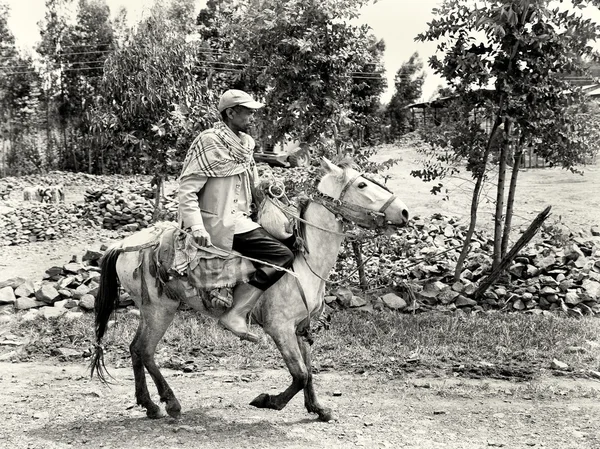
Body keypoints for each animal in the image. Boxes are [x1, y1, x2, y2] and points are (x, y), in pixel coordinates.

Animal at [90, 158, 408, 420]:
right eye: (362, 184)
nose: (403, 211)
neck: (303, 260)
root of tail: (124, 245)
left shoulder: (300, 327)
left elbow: (309, 371)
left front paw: (318, 409)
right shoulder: (279, 327)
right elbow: (300, 374)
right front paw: (269, 401)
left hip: (150, 309)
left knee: (135, 349)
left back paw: (150, 405)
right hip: (160, 309)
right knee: (145, 350)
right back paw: (170, 403)